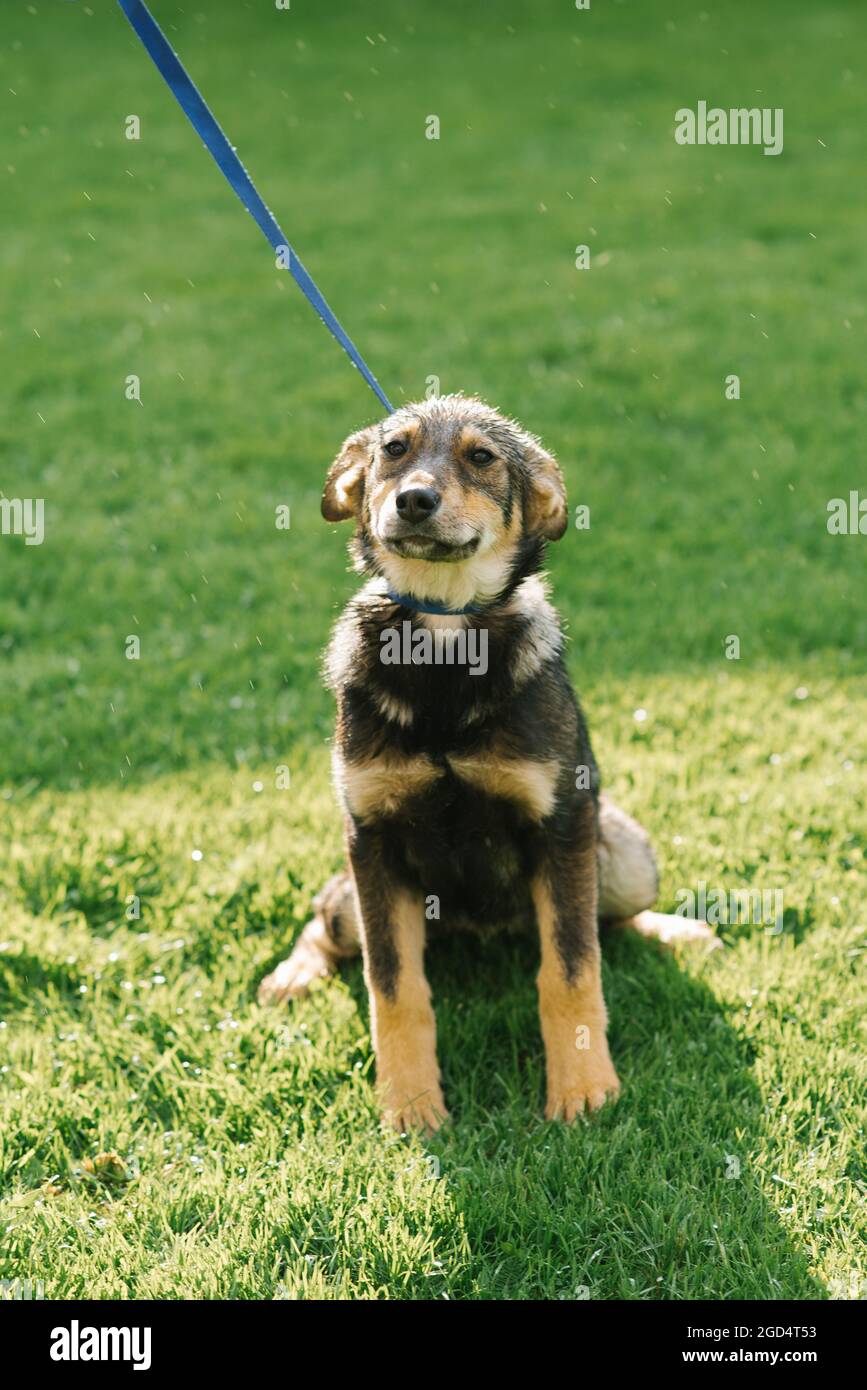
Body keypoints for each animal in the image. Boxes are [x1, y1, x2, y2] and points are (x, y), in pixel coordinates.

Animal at [258, 394, 716, 1128]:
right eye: (393, 449)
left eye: (481, 457)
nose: (414, 500)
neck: (444, 638)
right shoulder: (372, 838)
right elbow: (393, 987)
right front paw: (411, 1104)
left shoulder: (562, 822)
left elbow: (571, 968)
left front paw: (583, 1089)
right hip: (353, 888)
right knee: (324, 922)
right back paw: (294, 975)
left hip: (622, 851)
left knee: (607, 919)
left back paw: (673, 932)